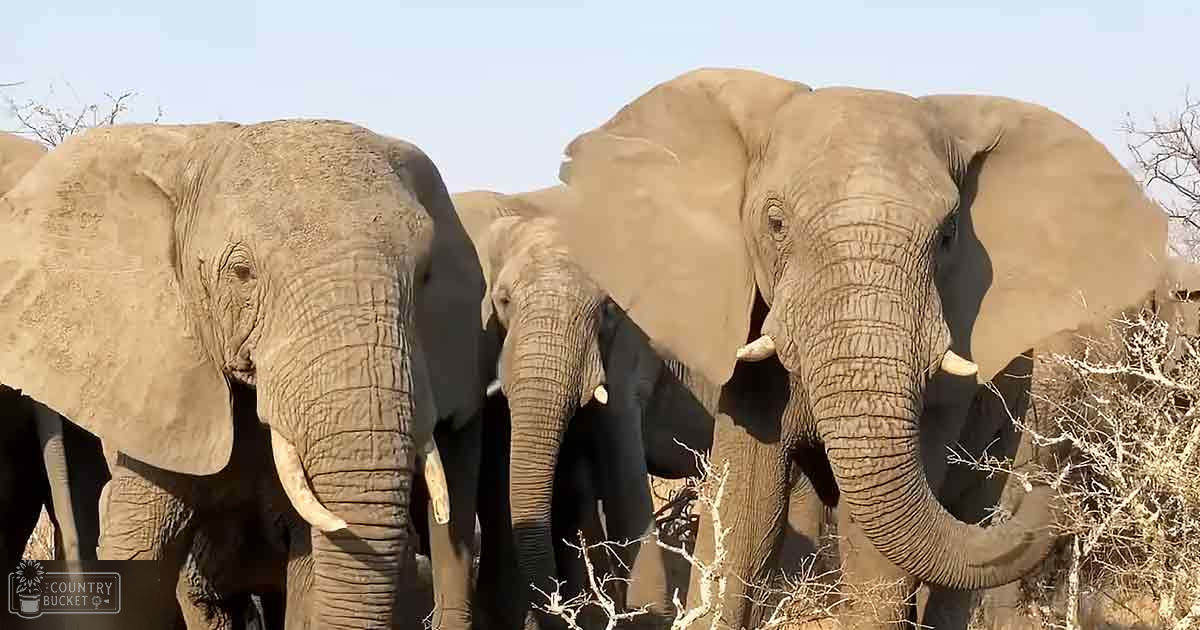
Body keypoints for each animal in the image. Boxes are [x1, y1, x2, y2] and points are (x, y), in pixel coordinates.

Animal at [542, 68, 1168, 628]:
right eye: (775, 223)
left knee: (965, 522)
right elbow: (745, 509)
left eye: (948, 236)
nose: (1054, 494)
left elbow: (872, 546)